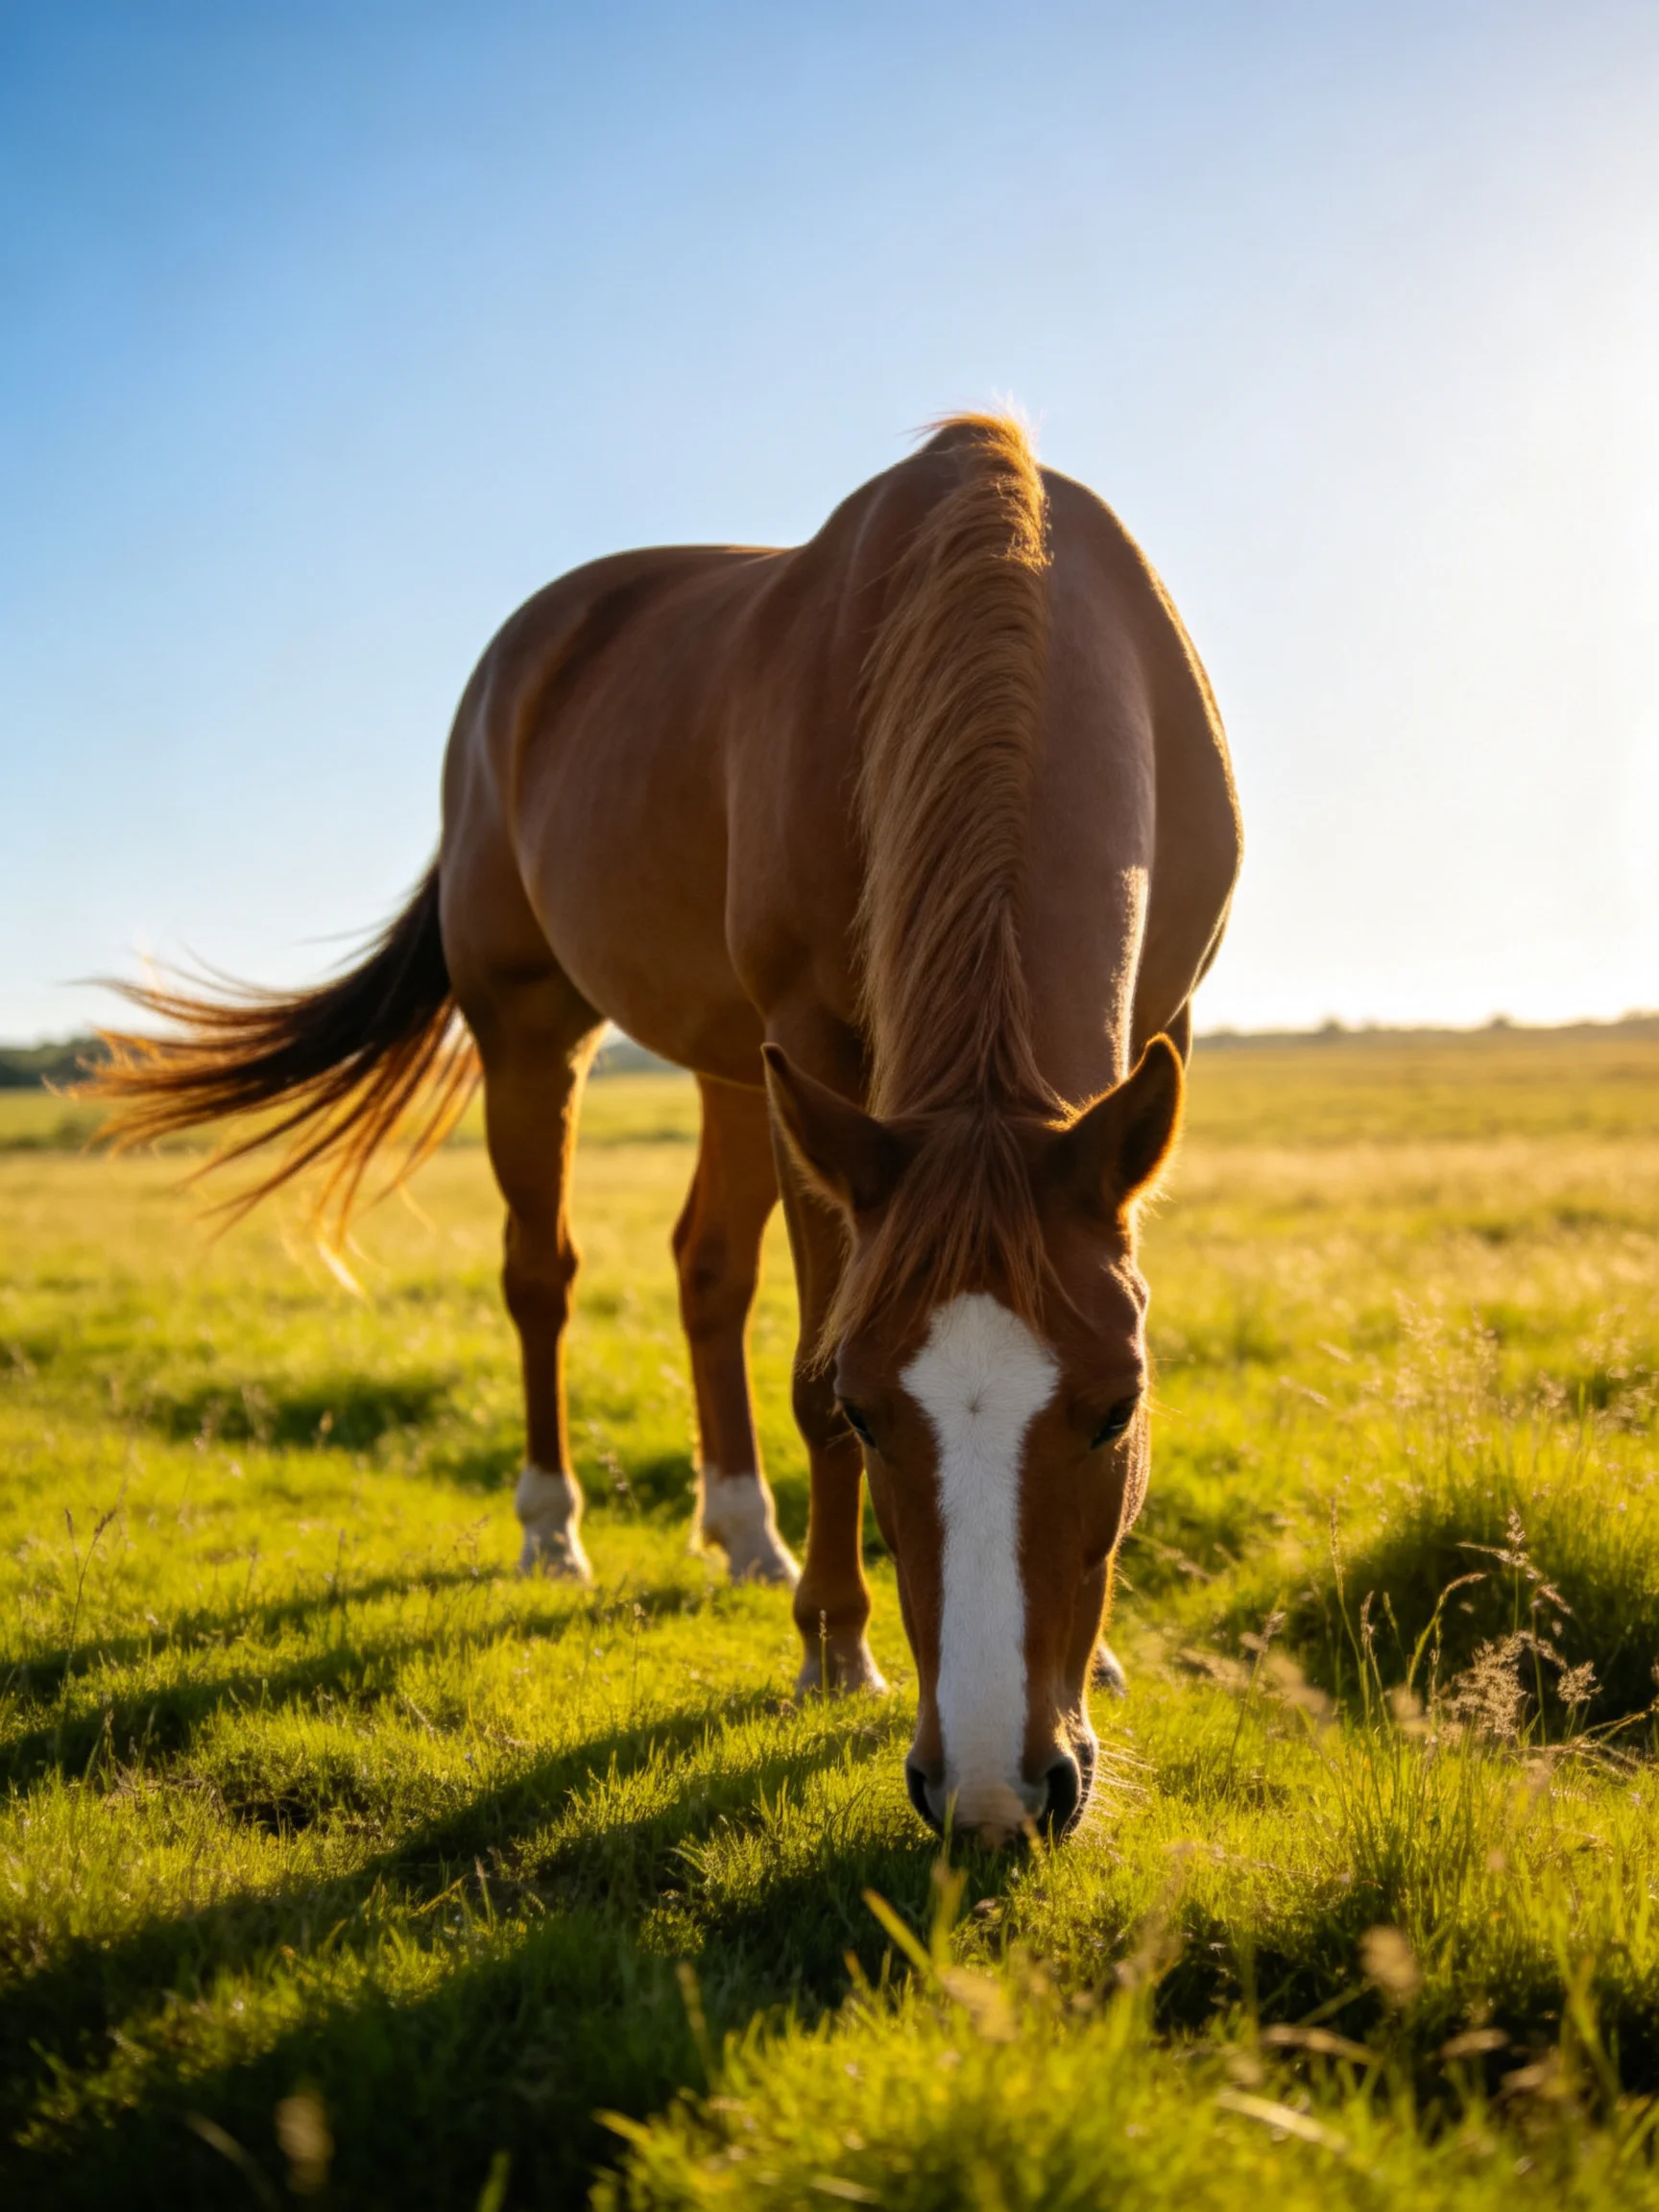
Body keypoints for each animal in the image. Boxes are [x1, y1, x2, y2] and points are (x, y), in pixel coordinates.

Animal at [89, 415, 1241, 1845]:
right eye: (870, 1414)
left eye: (1117, 1404)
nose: (991, 1797)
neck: (1006, 591)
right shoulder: (818, 1046)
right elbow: (802, 1356)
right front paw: (834, 1648)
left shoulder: (1151, 1023)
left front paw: (1106, 1654)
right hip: (538, 1031)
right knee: (541, 1274)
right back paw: (555, 1530)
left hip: (744, 1074)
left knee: (707, 1269)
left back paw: (744, 1533)